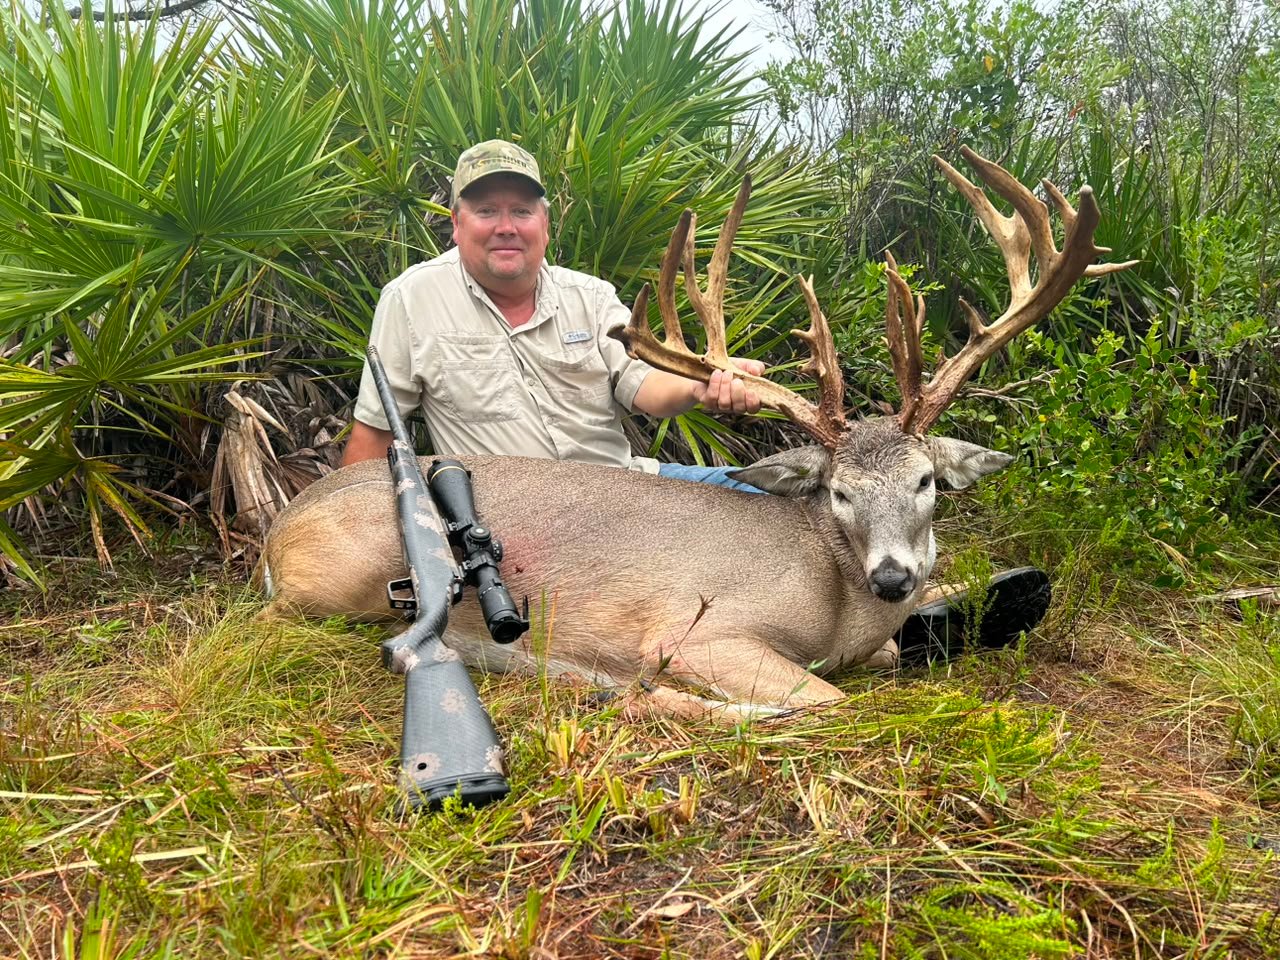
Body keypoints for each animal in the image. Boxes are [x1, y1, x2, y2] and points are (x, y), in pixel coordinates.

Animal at [257, 147, 1133, 720]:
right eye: (839, 492)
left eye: (925, 480)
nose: (894, 577)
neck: (838, 602)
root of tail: (275, 530)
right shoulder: (701, 631)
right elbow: (830, 700)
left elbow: (883, 660)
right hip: (341, 584)